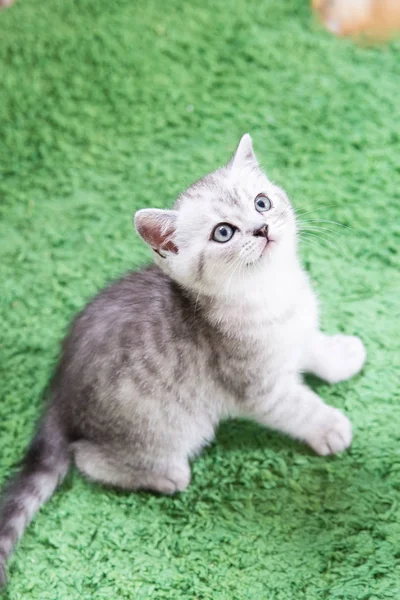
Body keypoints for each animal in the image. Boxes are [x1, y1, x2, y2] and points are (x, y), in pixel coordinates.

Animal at [0, 134, 366, 584]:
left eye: (262, 203)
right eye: (224, 232)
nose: (261, 228)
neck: (270, 292)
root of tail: (58, 394)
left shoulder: (296, 333)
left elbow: (314, 347)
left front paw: (341, 355)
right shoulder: (258, 388)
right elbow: (300, 408)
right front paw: (329, 426)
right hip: (169, 427)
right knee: (87, 458)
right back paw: (165, 474)